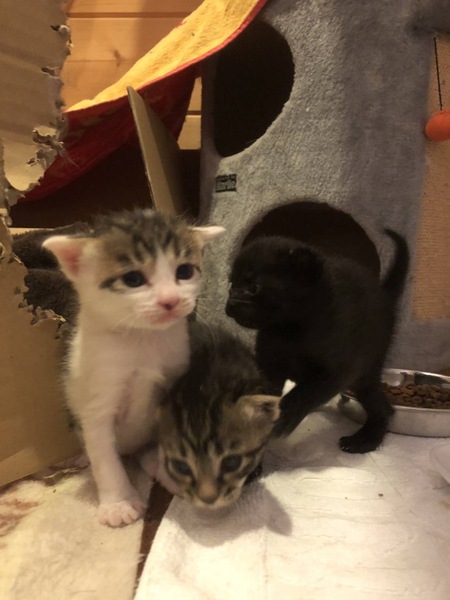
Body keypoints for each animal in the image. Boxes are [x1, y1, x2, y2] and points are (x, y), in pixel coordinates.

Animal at [39, 208, 224, 526]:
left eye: (184, 272)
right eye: (133, 279)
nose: (170, 300)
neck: (142, 340)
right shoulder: (97, 400)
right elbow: (104, 457)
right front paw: (119, 504)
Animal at [225, 229, 409, 454]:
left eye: (253, 287)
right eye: (231, 284)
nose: (230, 303)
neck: (289, 331)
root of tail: (383, 295)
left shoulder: (337, 372)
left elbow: (306, 393)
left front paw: (285, 414)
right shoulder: (269, 366)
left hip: (365, 374)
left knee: (384, 408)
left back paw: (365, 439)